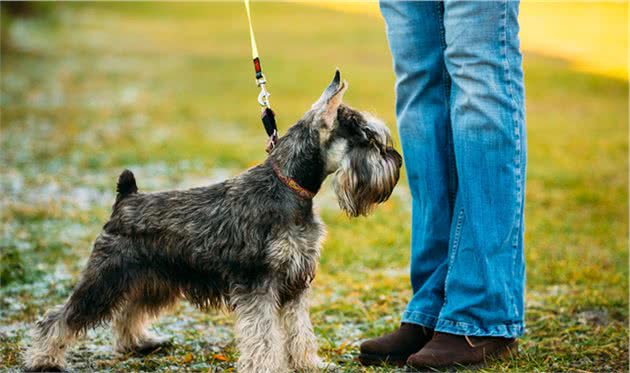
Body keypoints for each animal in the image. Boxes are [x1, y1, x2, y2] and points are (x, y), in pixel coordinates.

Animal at [24, 69, 402, 370]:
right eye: (367, 139)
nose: (395, 160)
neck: (289, 187)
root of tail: (126, 197)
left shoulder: (295, 283)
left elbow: (299, 331)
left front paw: (310, 363)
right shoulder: (258, 284)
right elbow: (264, 337)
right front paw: (269, 367)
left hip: (153, 278)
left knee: (129, 311)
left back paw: (139, 343)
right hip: (106, 277)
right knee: (60, 317)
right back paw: (43, 359)